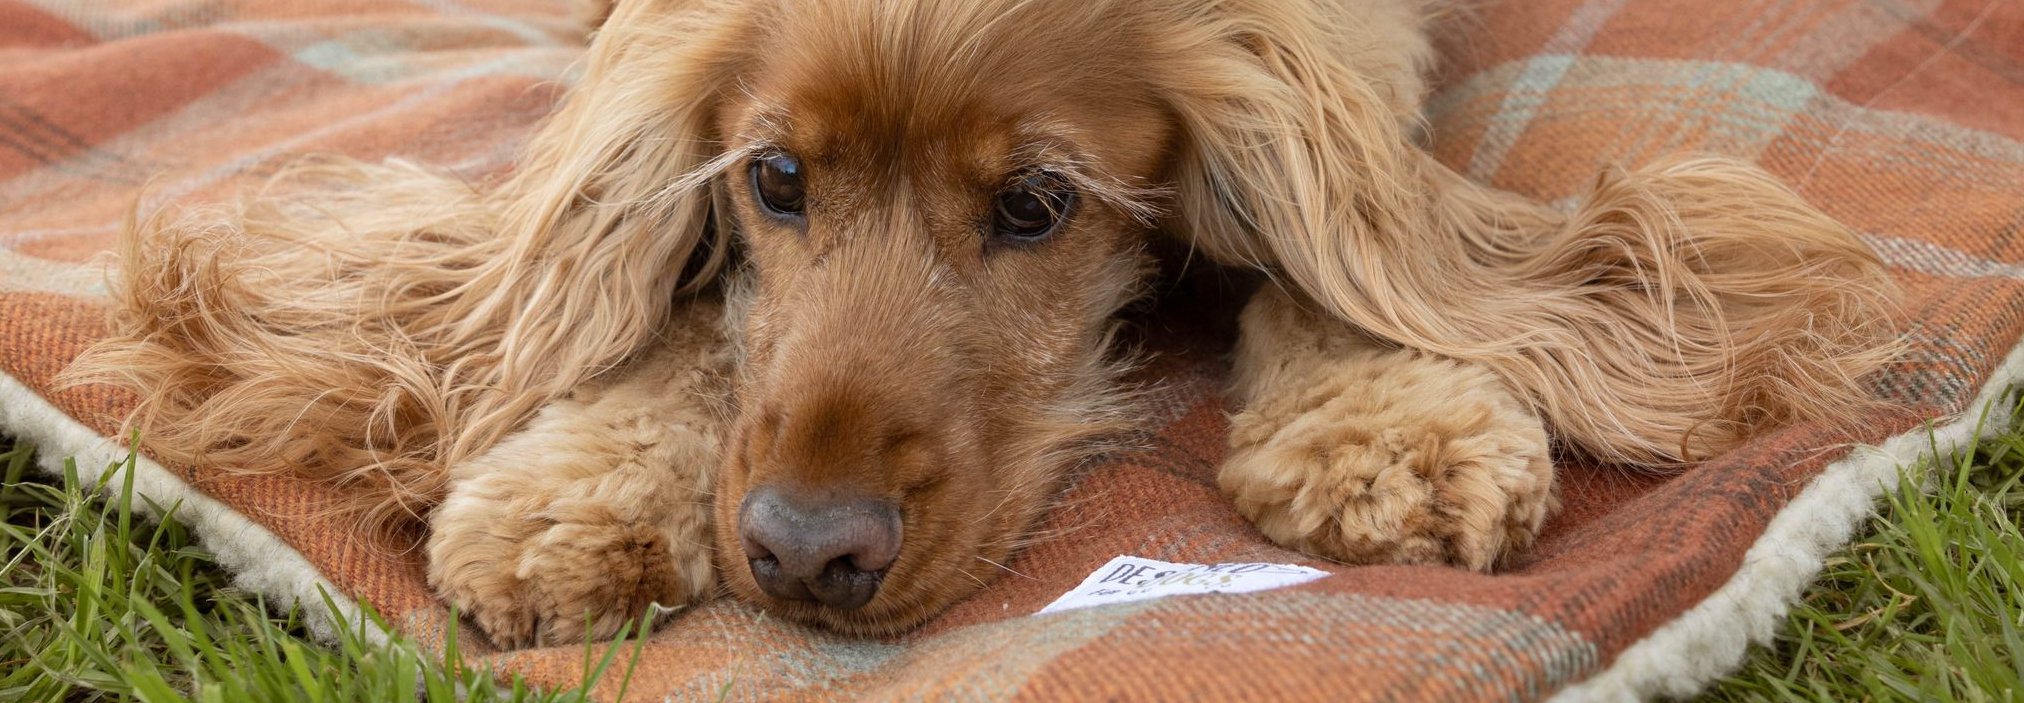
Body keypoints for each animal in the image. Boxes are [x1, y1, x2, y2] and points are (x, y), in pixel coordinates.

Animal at [74, 0, 1894, 648]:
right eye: (777, 176)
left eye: (1034, 205)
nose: (804, 553)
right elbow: (668, 291)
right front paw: (573, 489)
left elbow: (1346, 236)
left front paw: (1385, 420)